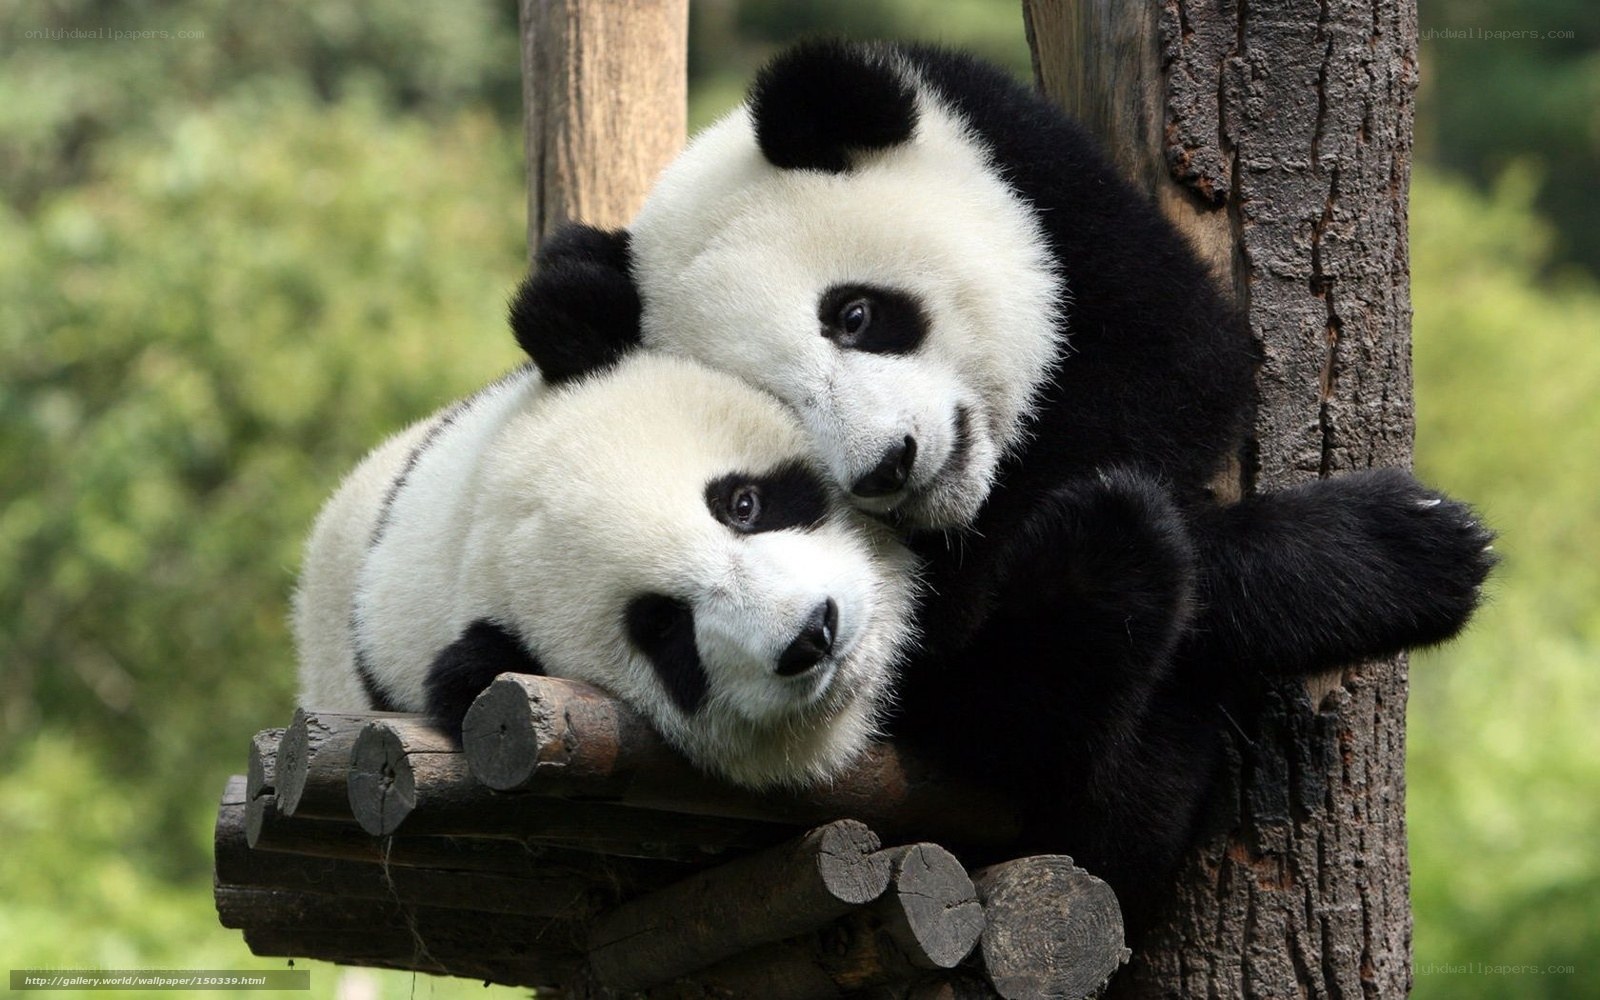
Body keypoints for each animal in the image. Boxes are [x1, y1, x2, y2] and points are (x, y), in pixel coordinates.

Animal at [508, 41, 1495, 928]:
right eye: (779, 405)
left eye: (855, 314)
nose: (889, 464)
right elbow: (970, 655)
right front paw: (1401, 552)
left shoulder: (1045, 184)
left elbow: (1178, 365)